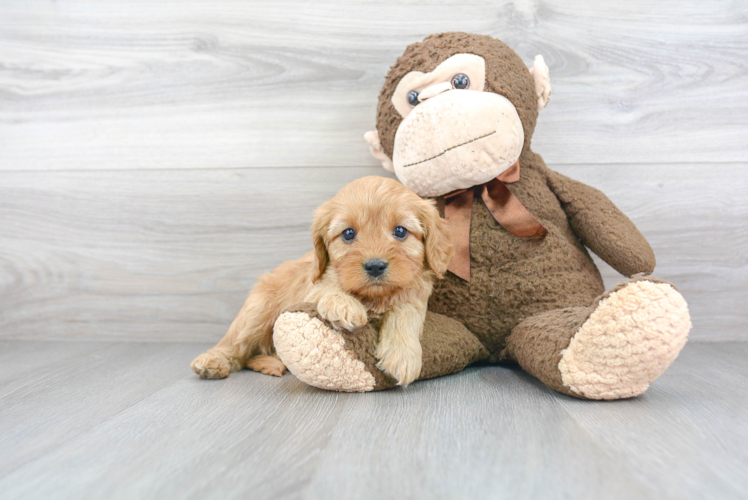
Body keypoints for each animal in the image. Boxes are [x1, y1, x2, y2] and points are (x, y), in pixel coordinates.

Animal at [190, 176, 452, 386]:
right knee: (234, 344)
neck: (372, 297)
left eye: (400, 231)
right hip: (257, 312)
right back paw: (212, 360)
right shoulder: (313, 283)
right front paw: (344, 305)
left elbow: (405, 312)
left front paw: (402, 355)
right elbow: (328, 286)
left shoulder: (415, 293)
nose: (375, 266)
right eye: (348, 233)